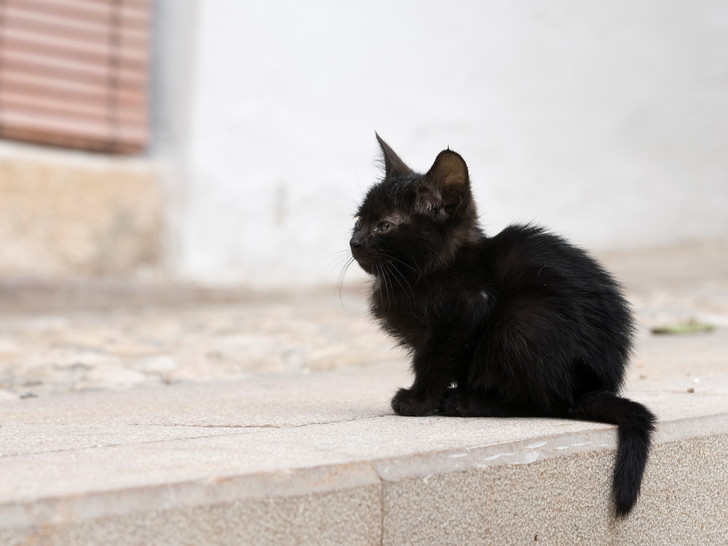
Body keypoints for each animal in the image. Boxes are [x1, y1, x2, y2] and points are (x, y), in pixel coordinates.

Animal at [350, 135, 656, 516]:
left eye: (385, 226)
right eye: (358, 219)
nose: (354, 241)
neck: (429, 271)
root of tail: (592, 387)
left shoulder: (469, 307)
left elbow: (433, 361)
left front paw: (417, 401)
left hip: (521, 324)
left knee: (551, 404)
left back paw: (468, 402)